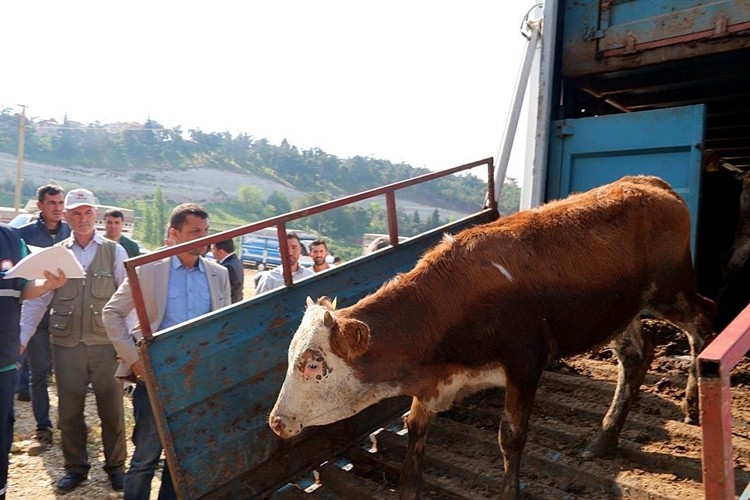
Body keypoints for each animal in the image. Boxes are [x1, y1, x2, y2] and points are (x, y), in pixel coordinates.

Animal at [270, 174, 716, 498]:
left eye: (313, 363)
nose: (276, 421)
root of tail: (649, 182)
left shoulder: (524, 364)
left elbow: (510, 438)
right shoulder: (433, 383)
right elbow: (415, 434)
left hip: (670, 291)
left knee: (705, 319)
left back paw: (694, 403)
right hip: (619, 313)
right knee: (636, 358)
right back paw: (604, 438)